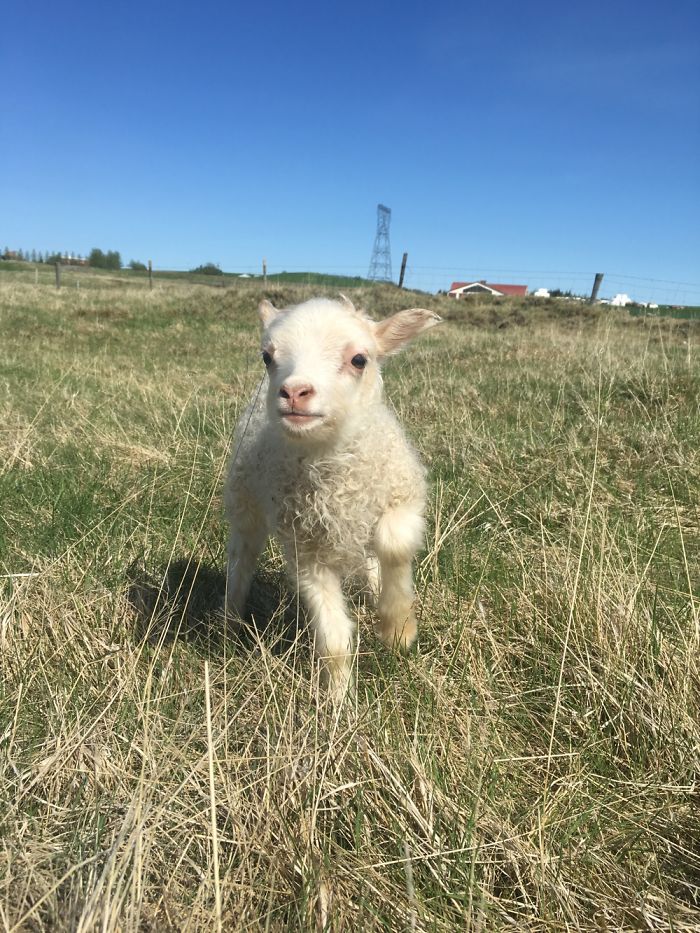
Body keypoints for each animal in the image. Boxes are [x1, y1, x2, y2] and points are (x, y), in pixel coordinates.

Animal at [224, 294, 440, 699]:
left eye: (359, 360)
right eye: (267, 357)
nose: (294, 392)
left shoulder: (402, 495)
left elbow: (394, 545)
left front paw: (398, 630)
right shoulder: (306, 550)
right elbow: (334, 639)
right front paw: (338, 699)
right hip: (245, 503)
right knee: (241, 557)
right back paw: (229, 618)